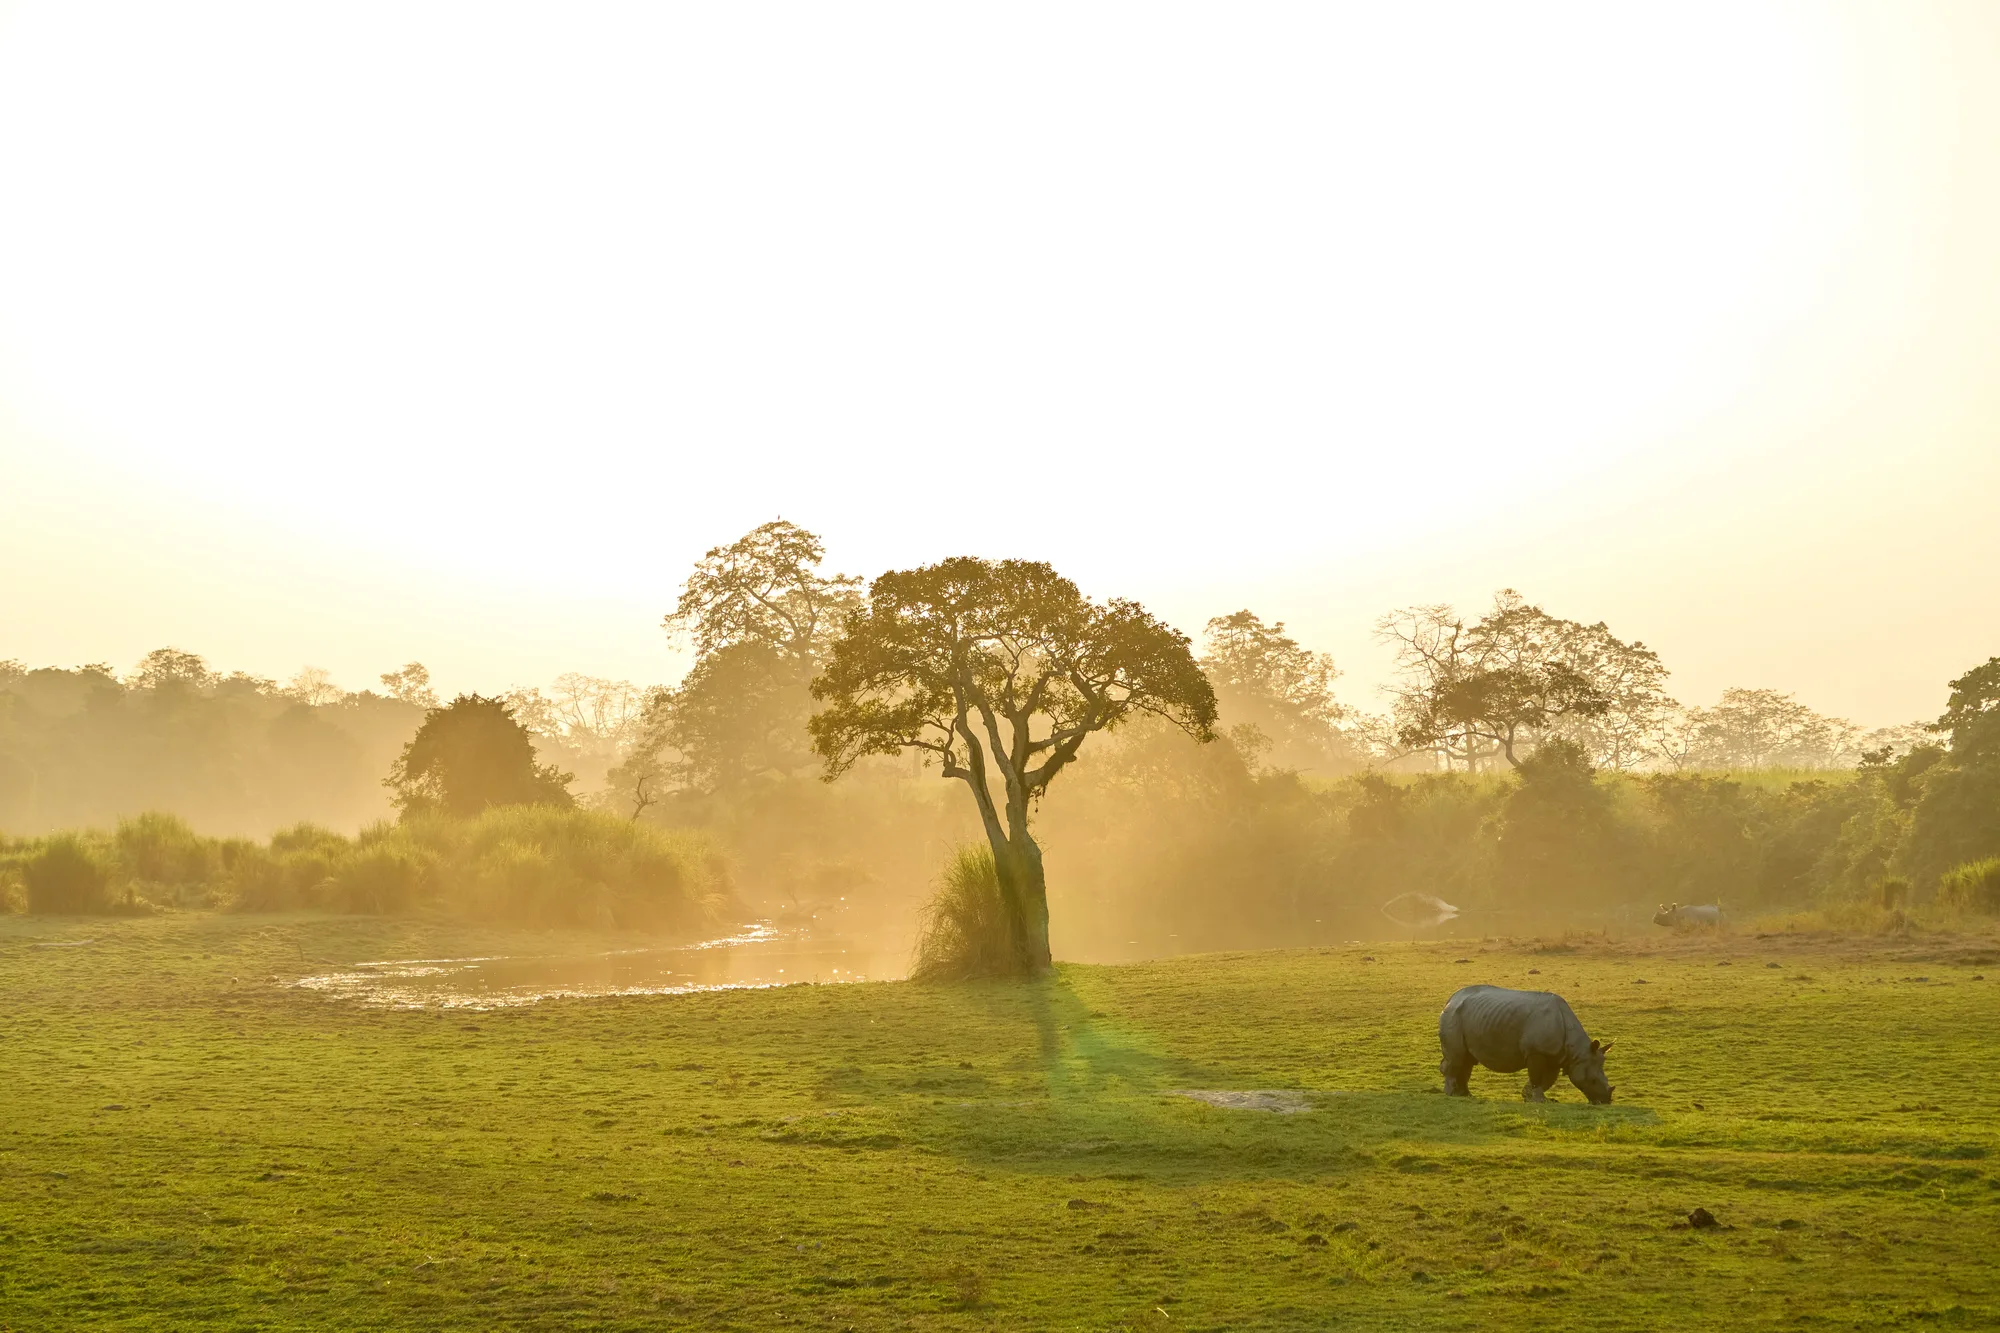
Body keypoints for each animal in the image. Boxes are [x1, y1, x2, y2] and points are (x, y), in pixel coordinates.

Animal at [1438, 984, 1614, 1104]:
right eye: (1593, 1080)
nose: (1606, 1101)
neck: (1577, 1051)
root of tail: (1451, 998)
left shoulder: (1555, 1055)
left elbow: (1548, 1080)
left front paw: (1529, 1096)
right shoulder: (1536, 1051)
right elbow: (1537, 1077)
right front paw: (1537, 1100)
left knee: (1467, 1059)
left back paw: (1466, 1095)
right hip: (1453, 1015)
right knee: (1457, 1057)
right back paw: (1451, 1094)